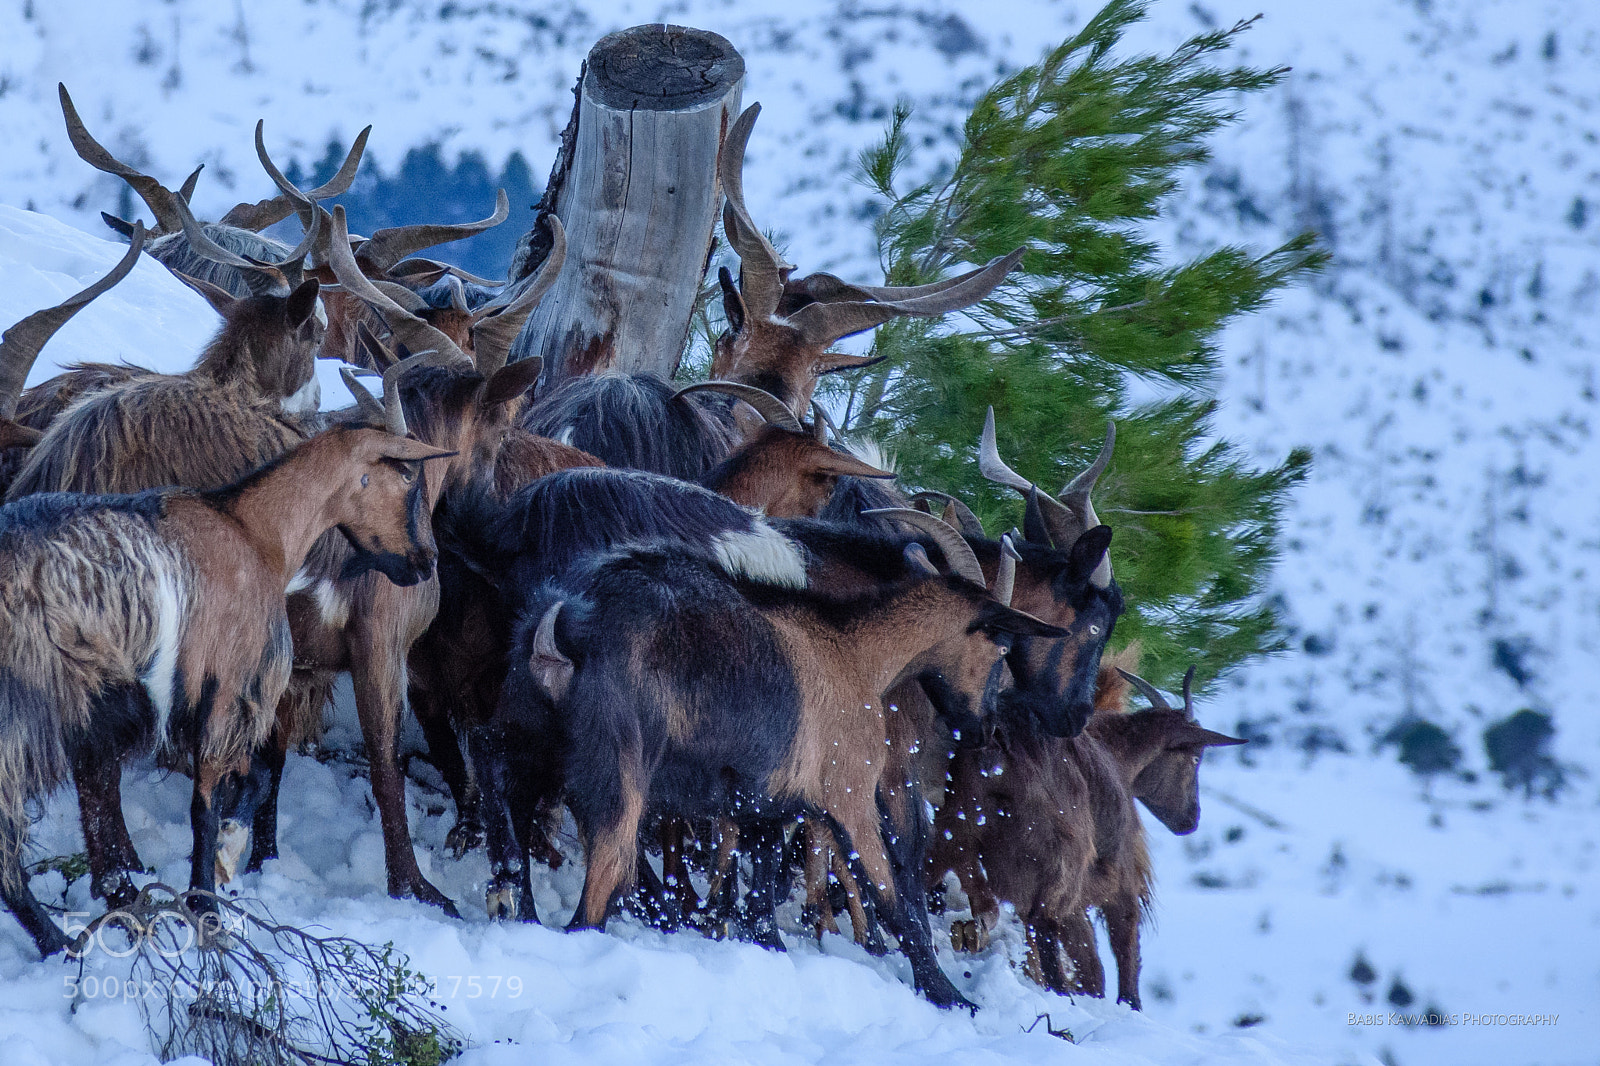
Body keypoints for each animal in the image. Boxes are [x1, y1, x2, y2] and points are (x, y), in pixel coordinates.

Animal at [0, 422, 450, 958]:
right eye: (407, 479)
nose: (426, 561)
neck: (257, 531)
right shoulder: (229, 687)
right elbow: (207, 806)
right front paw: (206, 904)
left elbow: (249, 780)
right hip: (25, 708)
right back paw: (58, 943)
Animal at [930, 658, 1245, 1008]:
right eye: (1195, 757)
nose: (1191, 819)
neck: (1116, 756)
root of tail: (996, 756)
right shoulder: (1119, 883)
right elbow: (1122, 954)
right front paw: (1129, 1006)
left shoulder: (1070, 905)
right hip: (1058, 862)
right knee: (1045, 927)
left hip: (951, 831)